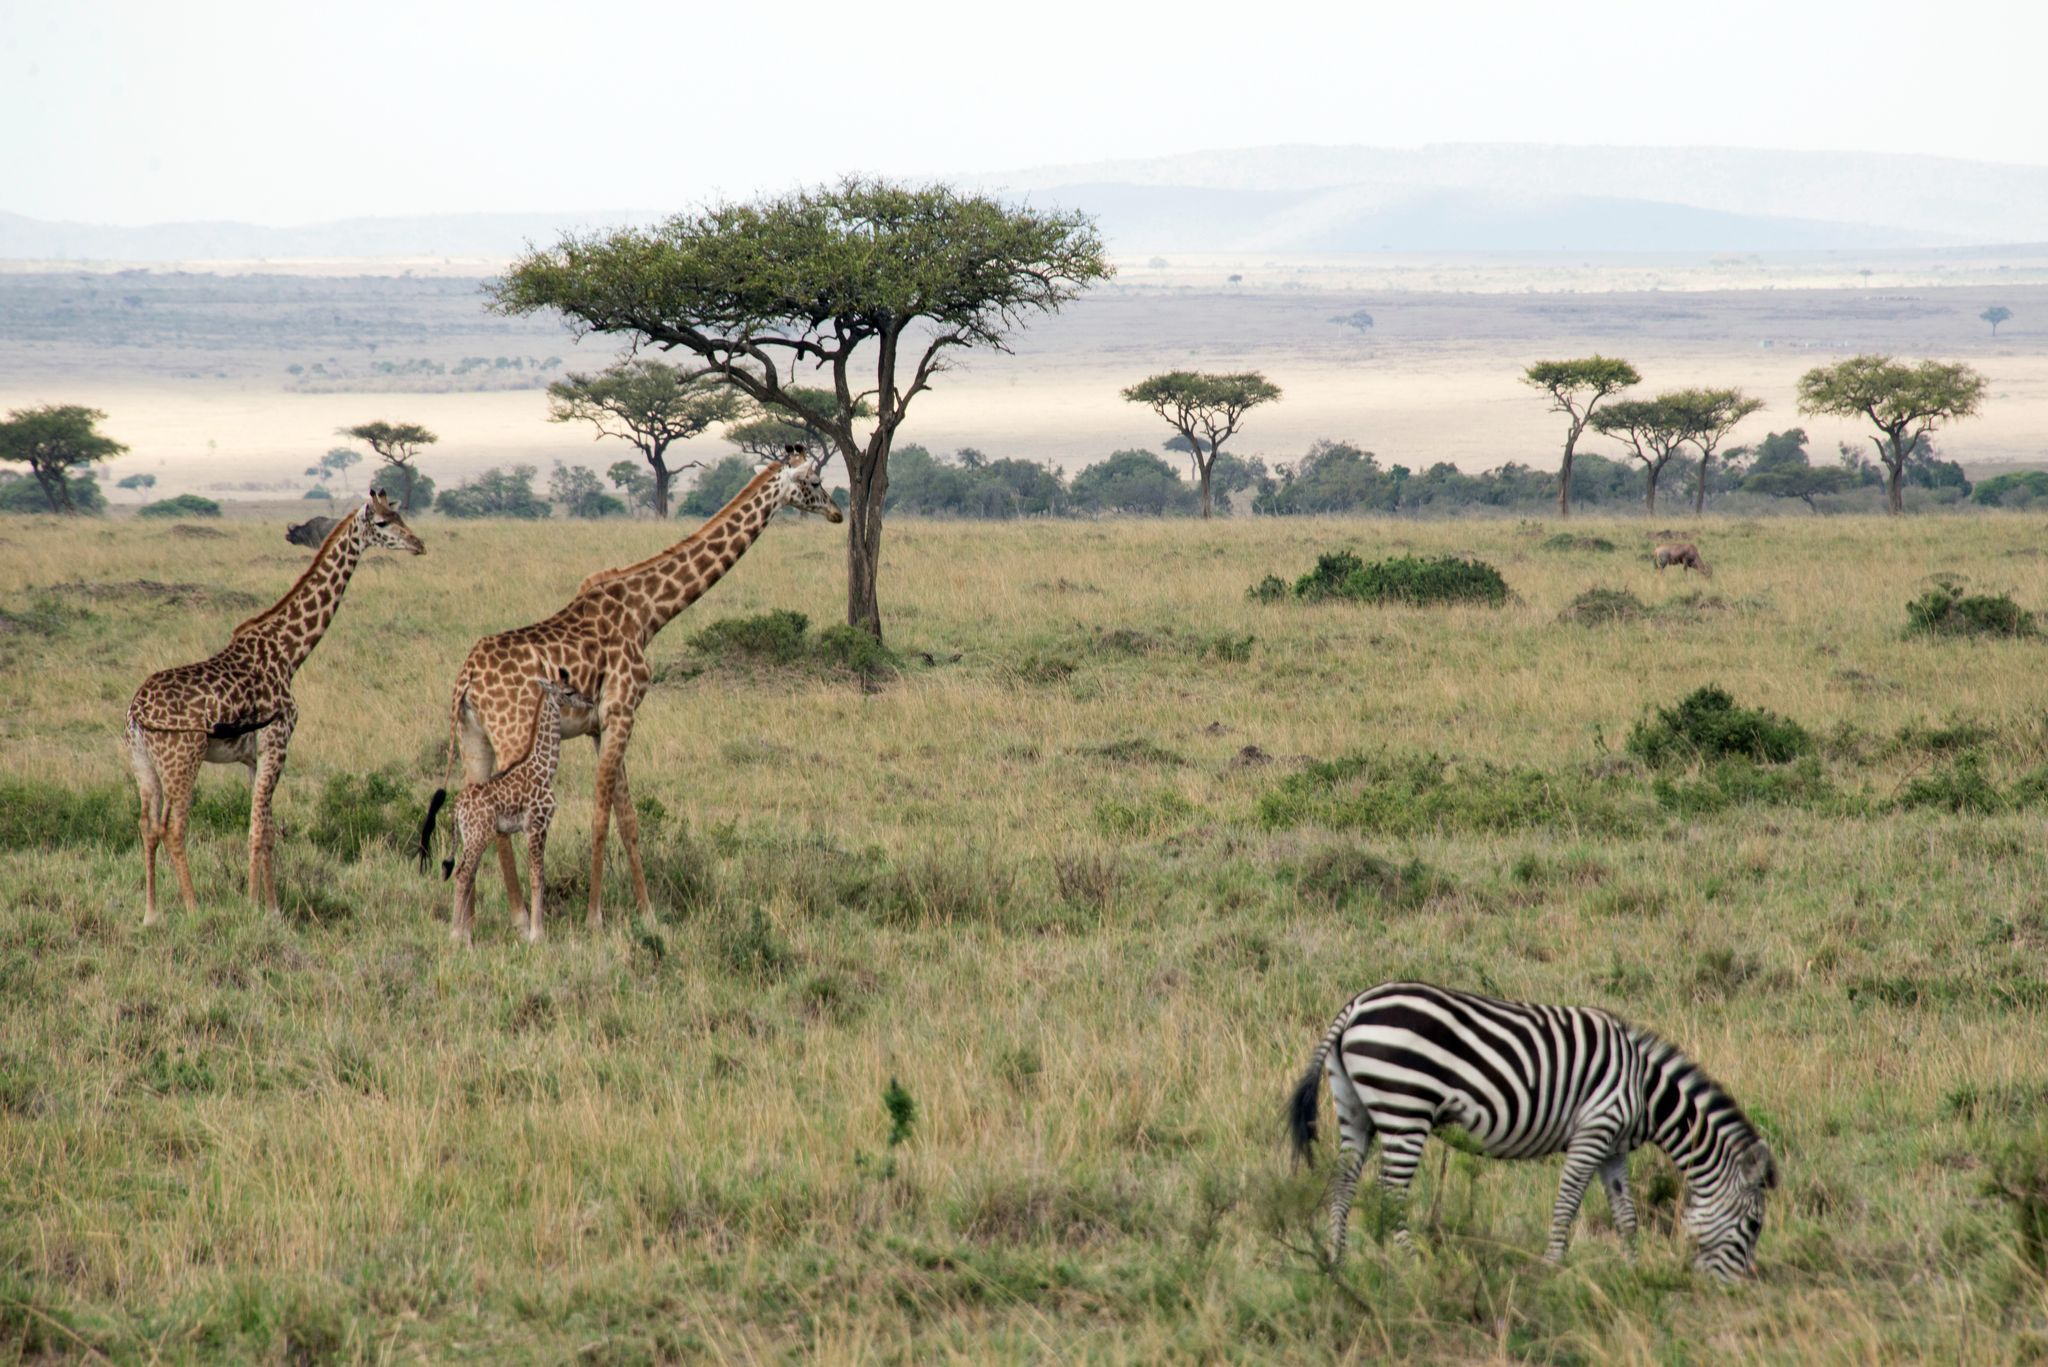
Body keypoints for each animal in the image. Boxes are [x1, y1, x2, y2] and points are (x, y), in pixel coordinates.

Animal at [1288, 981, 1777, 1280]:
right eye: (1753, 1225)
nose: (1731, 1291)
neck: (1643, 1088)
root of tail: (1355, 1005)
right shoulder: (1594, 1130)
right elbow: (1567, 1204)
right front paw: (1552, 1267)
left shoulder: (1613, 1148)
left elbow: (1626, 1215)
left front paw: (1633, 1270)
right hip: (1404, 1107)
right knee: (1391, 1194)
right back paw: (1416, 1265)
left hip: (1356, 1108)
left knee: (1343, 1184)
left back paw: (1337, 1262)